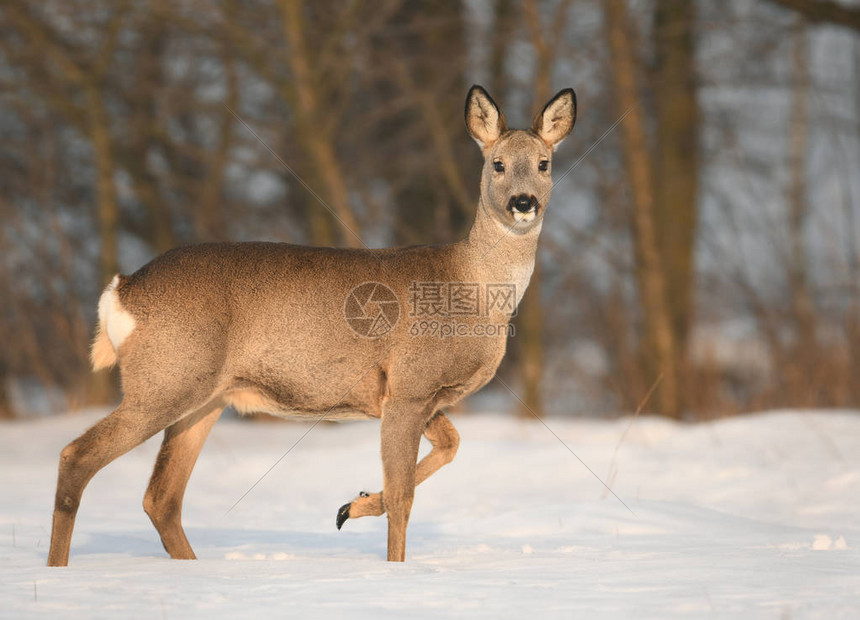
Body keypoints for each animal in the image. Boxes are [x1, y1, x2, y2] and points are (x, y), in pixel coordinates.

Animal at [45, 86, 572, 568]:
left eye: (544, 163)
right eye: (497, 164)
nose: (523, 202)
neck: (473, 288)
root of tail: (122, 289)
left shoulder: (411, 395)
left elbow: (448, 447)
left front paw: (350, 506)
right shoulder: (409, 386)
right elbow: (403, 496)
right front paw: (393, 567)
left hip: (205, 396)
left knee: (161, 497)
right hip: (165, 378)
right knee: (77, 456)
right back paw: (57, 572)